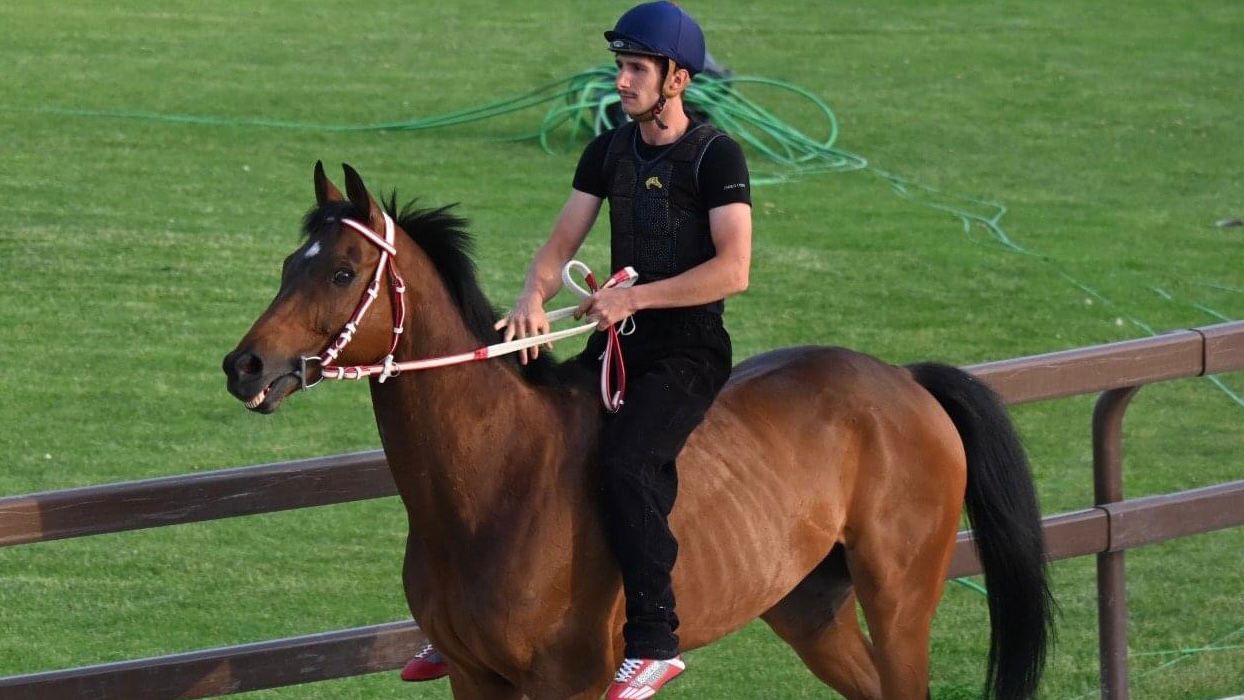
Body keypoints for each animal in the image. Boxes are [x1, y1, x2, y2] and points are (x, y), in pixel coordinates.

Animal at [221, 164, 1049, 700]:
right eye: (290, 262)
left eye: (342, 272)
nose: (244, 365)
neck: (492, 487)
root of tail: (903, 381)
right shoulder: (474, 677)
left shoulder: (568, 682)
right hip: (811, 609)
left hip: (901, 602)